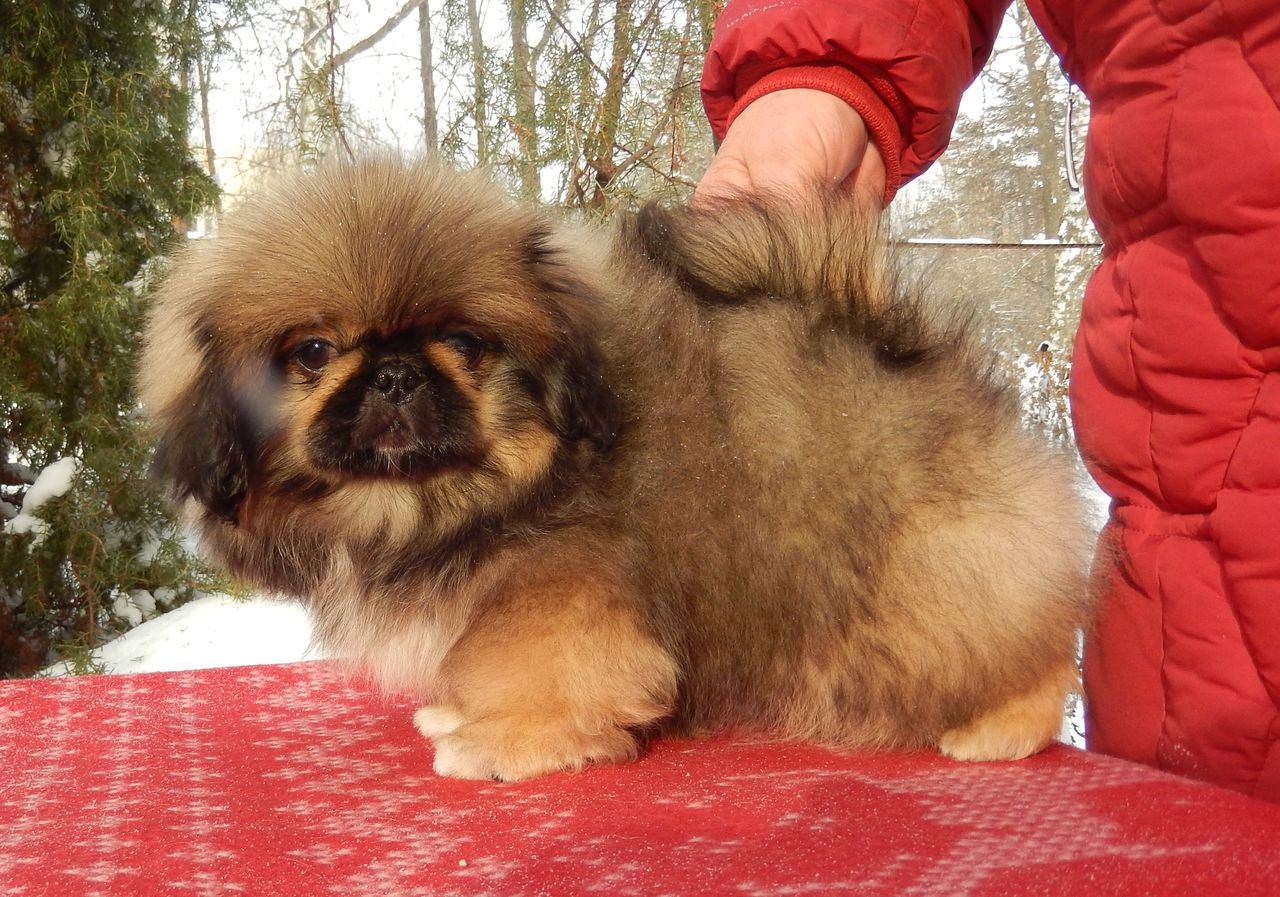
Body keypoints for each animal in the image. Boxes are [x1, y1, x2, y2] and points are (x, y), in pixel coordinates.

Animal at [145, 157, 1095, 777]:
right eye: (312, 352)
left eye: (465, 343)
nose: (395, 372)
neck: (424, 505)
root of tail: (929, 361)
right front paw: (462, 708)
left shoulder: (559, 595)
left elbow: (548, 675)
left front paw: (498, 741)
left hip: (918, 586)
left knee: (1028, 657)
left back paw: (998, 730)